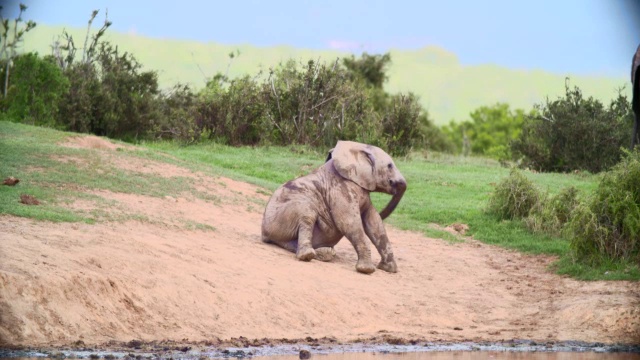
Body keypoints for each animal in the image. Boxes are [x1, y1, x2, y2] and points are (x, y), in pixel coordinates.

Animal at [260, 140, 404, 272]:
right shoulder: (340, 189)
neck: (357, 146)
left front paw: (389, 269)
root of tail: (264, 234)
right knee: (307, 213)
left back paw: (325, 253)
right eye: (390, 166)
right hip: (281, 215)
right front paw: (367, 270)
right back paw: (308, 255)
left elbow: (374, 222)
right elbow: (349, 222)